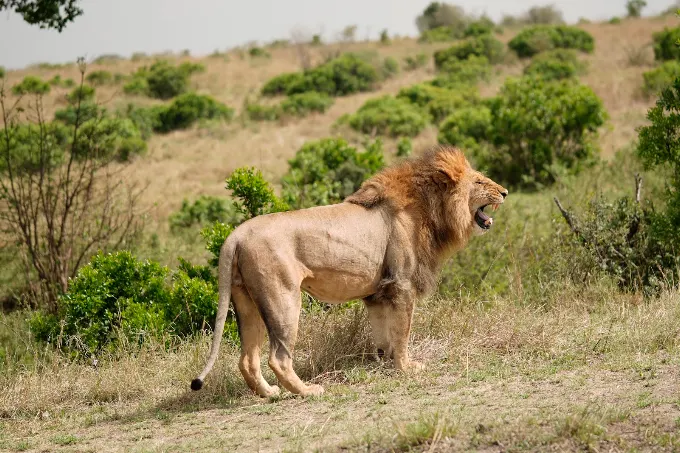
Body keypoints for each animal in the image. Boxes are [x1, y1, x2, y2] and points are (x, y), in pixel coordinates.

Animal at [191, 145, 508, 397]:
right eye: (480, 181)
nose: (505, 192)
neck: (429, 211)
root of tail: (236, 234)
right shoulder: (401, 284)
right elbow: (402, 332)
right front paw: (407, 367)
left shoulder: (379, 292)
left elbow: (384, 335)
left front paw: (385, 363)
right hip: (282, 298)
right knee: (278, 357)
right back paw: (308, 391)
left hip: (246, 301)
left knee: (247, 359)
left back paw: (269, 394)